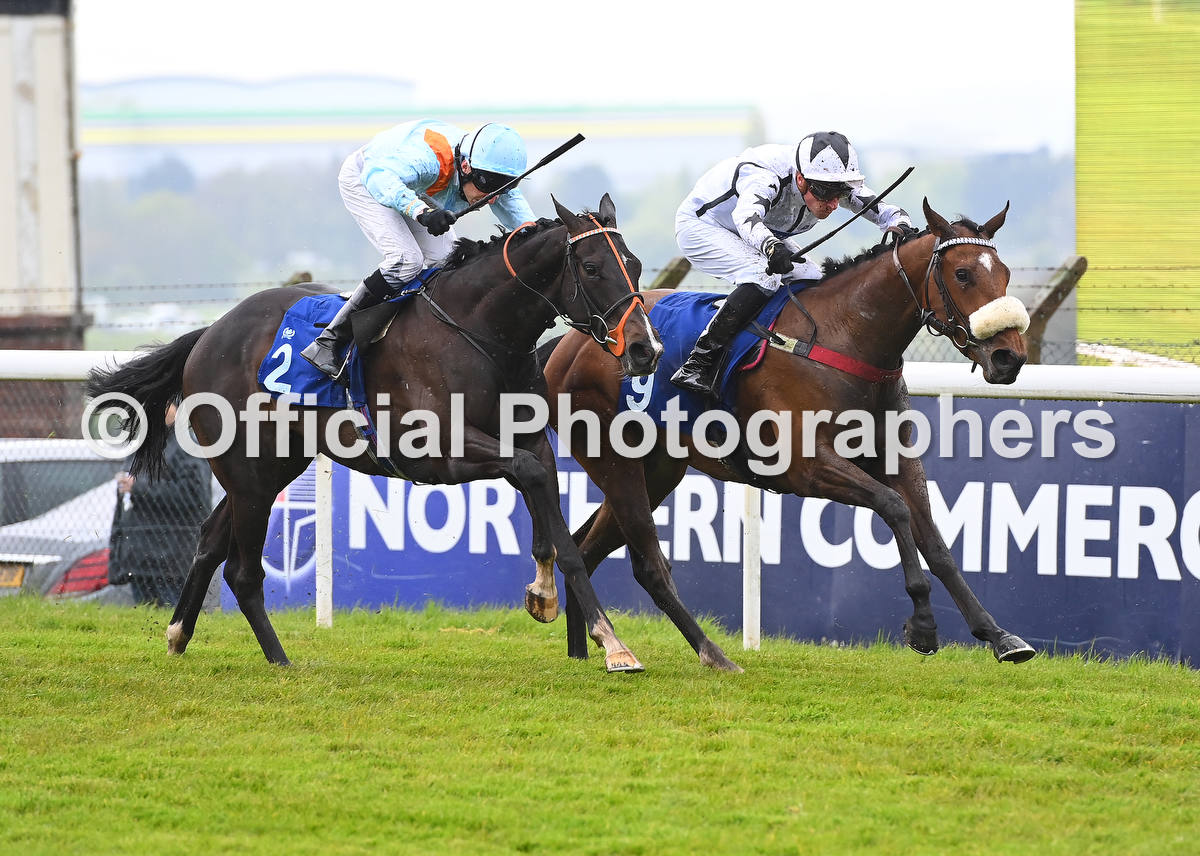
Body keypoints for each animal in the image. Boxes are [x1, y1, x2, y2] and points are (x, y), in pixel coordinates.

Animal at [84, 195, 667, 672]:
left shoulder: (530, 440)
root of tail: (209, 333)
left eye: (635, 265)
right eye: (591, 268)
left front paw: (551, 596)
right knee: (243, 572)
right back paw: (280, 661)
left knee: (209, 540)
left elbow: (553, 516)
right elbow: (536, 490)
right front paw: (613, 645)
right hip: (249, 473)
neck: (479, 331)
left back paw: (178, 634)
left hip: (270, 468)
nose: (646, 349)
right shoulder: (441, 452)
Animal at [544, 198, 1041, 667]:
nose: (1009, 358)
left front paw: (999, 635)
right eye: (962, 273)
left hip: (657, 471)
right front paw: (922, 625)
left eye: (1005, 274)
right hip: (614, 458)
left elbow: (936, 543)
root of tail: (571, 341)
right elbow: (894, 508)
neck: (846, 340)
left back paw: (589, 649)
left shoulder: (898, 460)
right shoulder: (806, 467)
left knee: (587, 549)